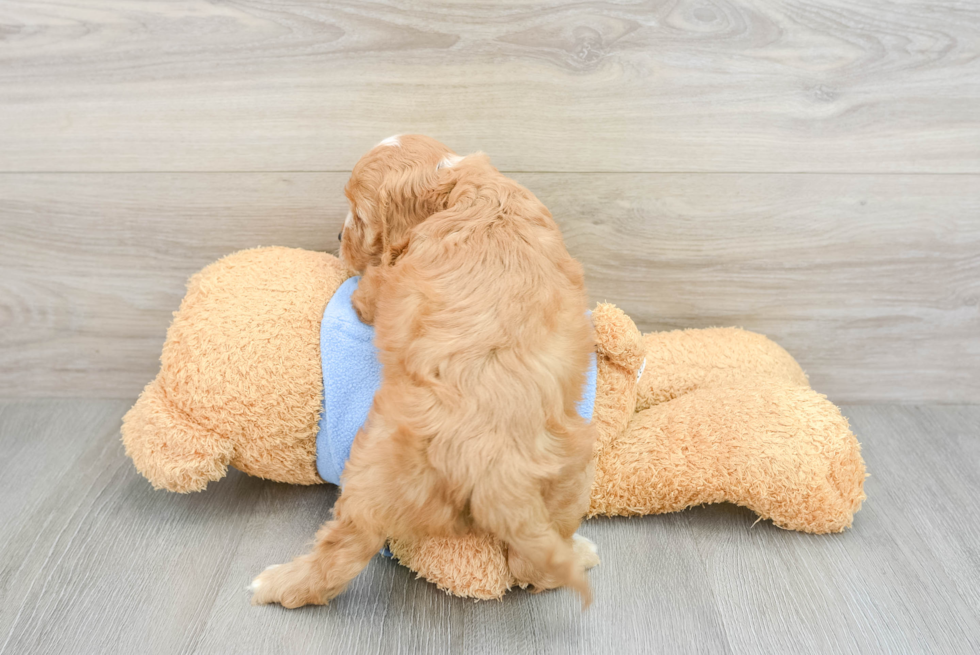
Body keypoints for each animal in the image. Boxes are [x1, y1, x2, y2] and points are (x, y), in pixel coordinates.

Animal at [249, 137, 592, 608]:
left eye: (358, 215)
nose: (337, 237)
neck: (456, 183)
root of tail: (489, 460)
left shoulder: (382, 286)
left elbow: (368, 287)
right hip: (569, 470)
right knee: (533, 564)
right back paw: (579, 552)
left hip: (373, 475)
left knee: (343, 553)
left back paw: (276, 583)